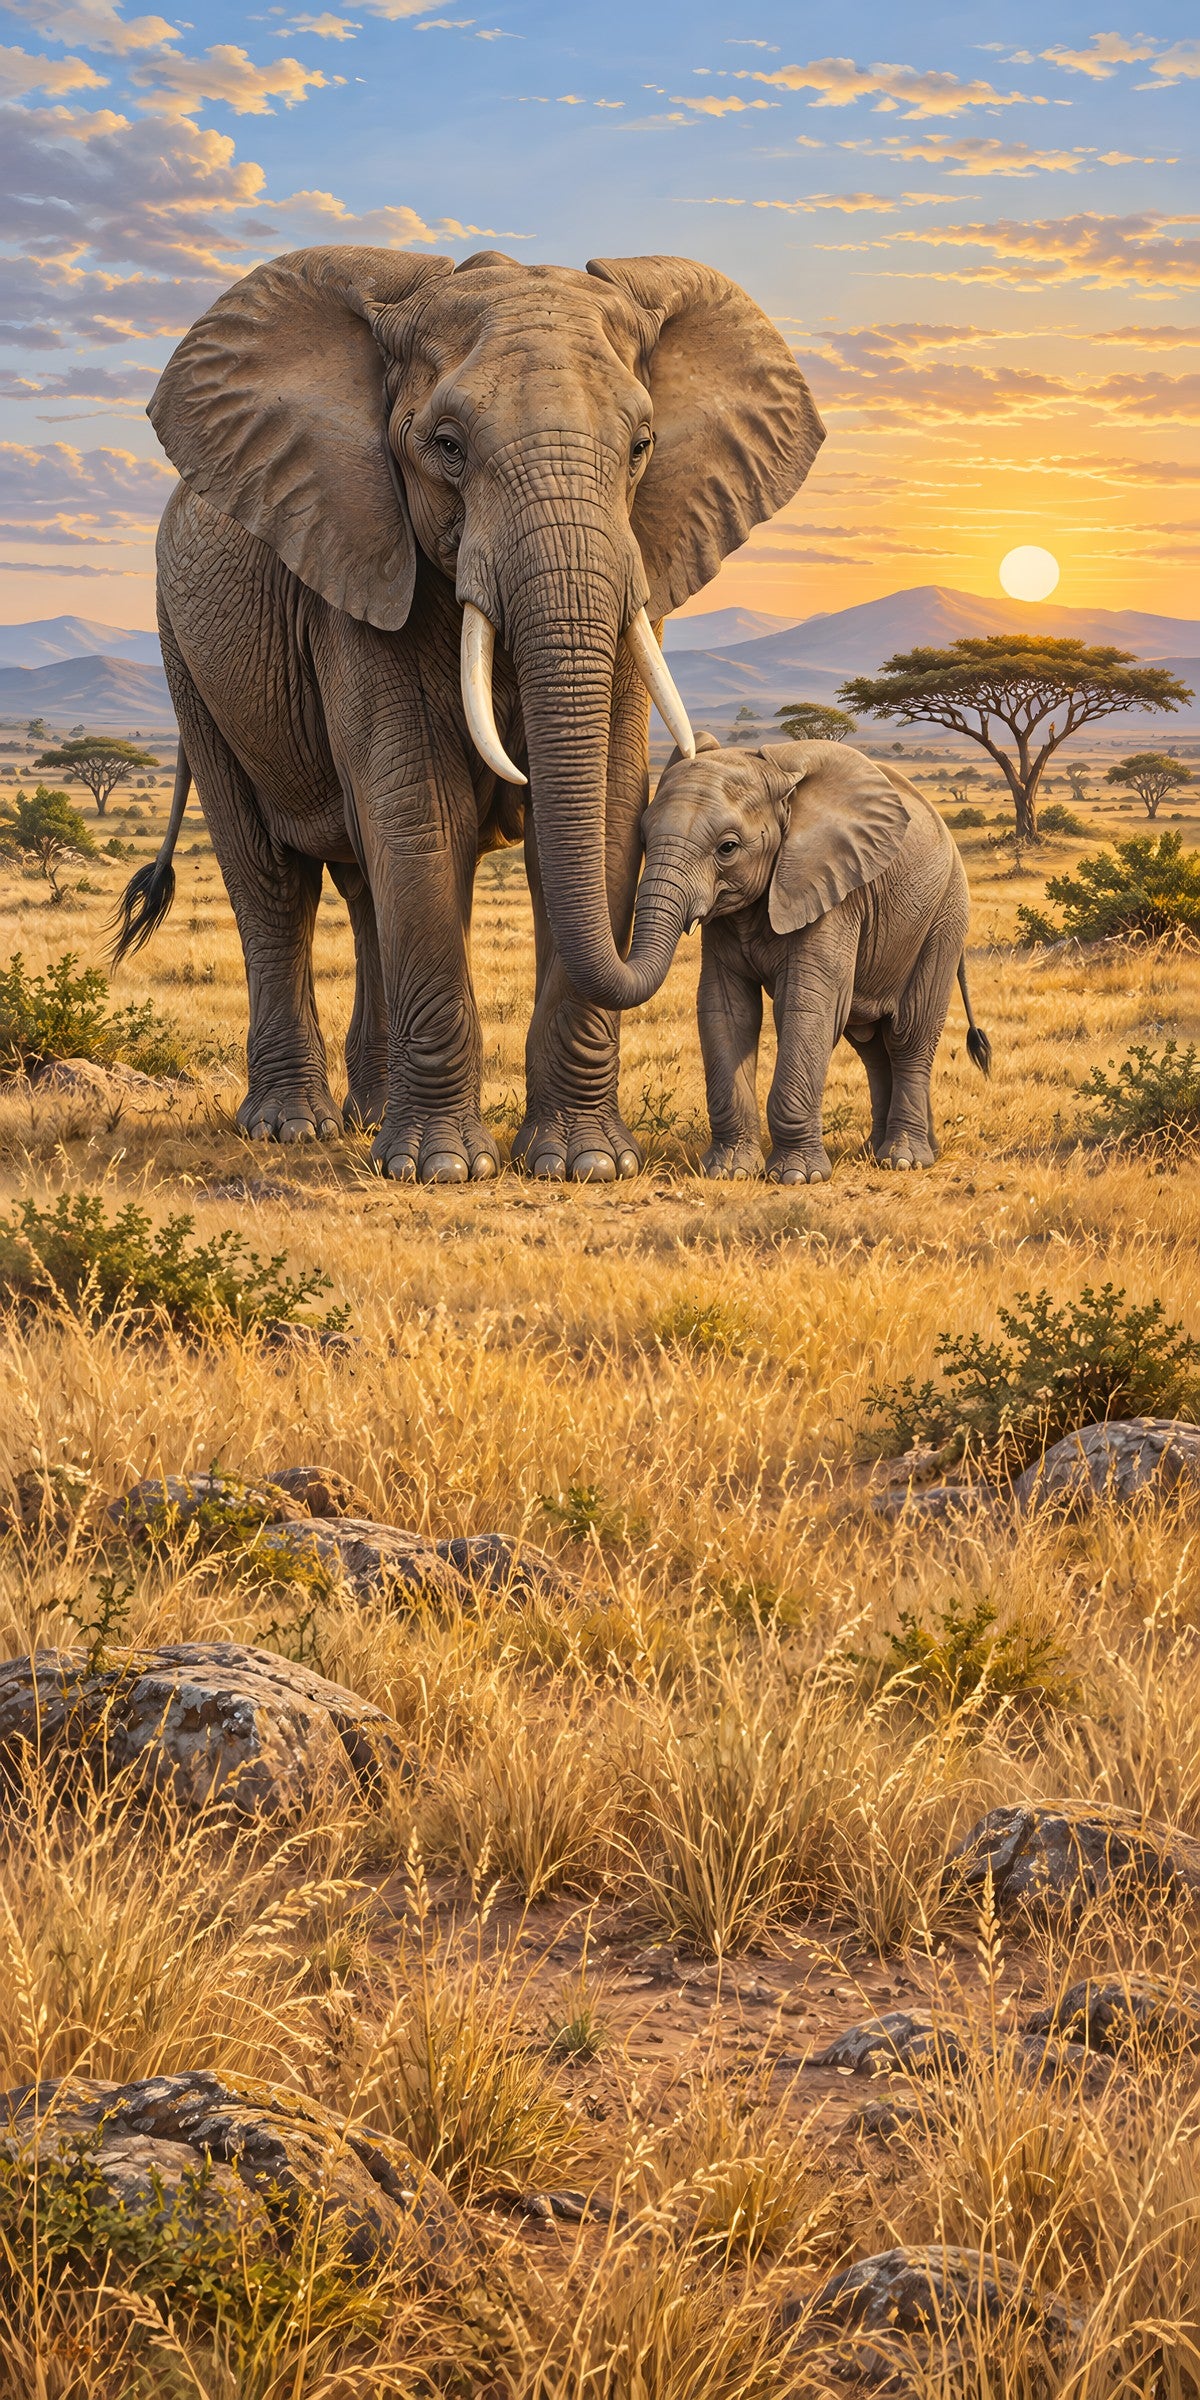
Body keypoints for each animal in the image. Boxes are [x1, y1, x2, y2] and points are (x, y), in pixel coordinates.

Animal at [112, 246, 824, 1182]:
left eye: (641, 447)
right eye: (445, 447)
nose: (704, 749)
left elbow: (595, 811)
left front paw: (583, 1165)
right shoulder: (359, 558)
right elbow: (424, 809)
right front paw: (439, 1169)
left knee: (363, 884)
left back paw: (366, 1113)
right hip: (188, 657)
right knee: (271, 878)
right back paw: (293, 1128)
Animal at [603, 734, 991, 1181]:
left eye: (728, 848)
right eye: (643, 840)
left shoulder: (834, 889)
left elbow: (807, 1006)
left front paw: (798, 1177)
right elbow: (726, 1008)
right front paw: (730, 1172)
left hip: (944, 916)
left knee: (908, 1034)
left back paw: (904, 1160)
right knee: (873, 1047)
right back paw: (885, 1151)